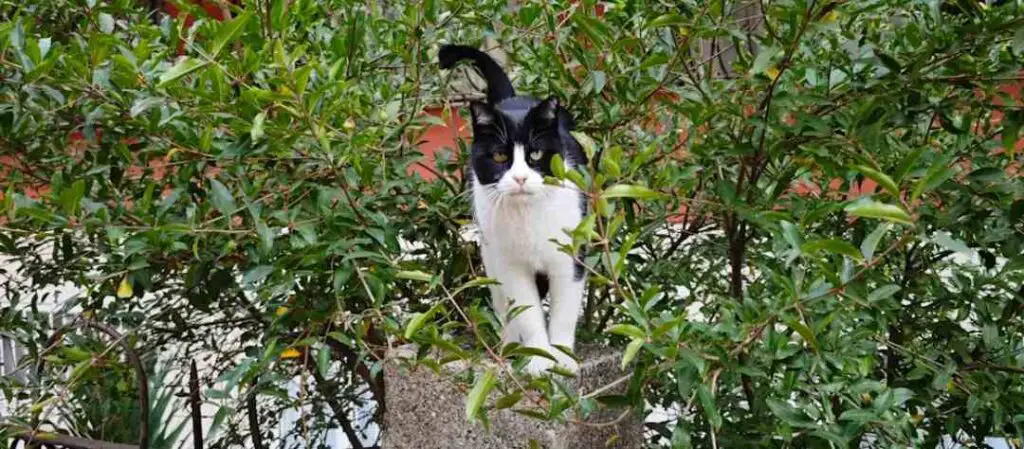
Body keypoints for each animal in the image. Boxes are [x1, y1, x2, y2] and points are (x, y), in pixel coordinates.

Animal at [436, 44, 589, 375]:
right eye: (499, 156)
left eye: (536, 154)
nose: (519, 178)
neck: (528, 215)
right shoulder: (511, 266)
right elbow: (527, 312)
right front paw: (538, 358)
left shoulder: (568, 259)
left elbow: (564, 311)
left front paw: (563, 359)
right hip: (490, 254)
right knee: (502, 304)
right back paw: (507, 346)